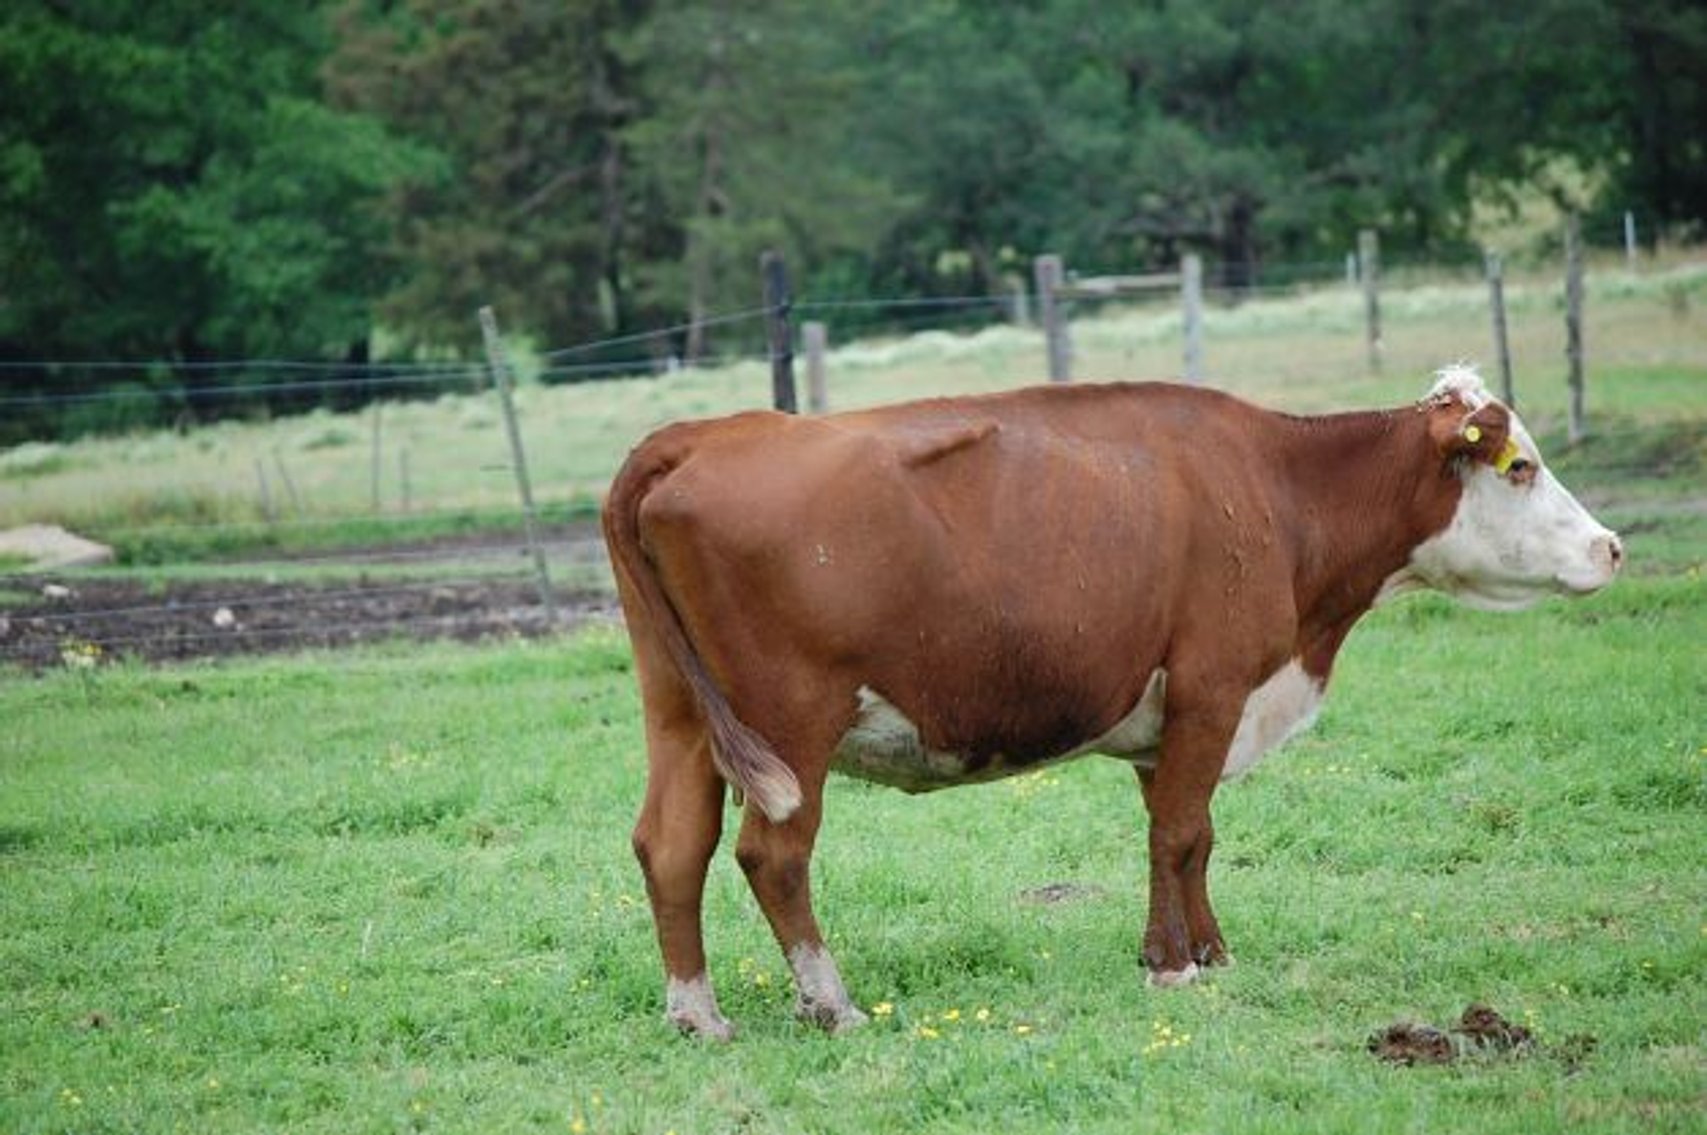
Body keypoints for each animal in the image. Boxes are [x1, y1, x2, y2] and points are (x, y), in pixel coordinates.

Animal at [602, 365, 1622, 1040]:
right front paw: (1171, 966)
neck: (1272, 489)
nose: (1610, 546)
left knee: (671, 845)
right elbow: (1177, 831)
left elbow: (1190, 835)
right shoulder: (1212, 687)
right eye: (1520, 467)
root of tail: (700, 433)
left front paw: (1201, 950)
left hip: (680, 714)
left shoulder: (1168, 720)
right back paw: (831, 1001)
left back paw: (696, 1014)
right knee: (771, 854)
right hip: (791, 723)